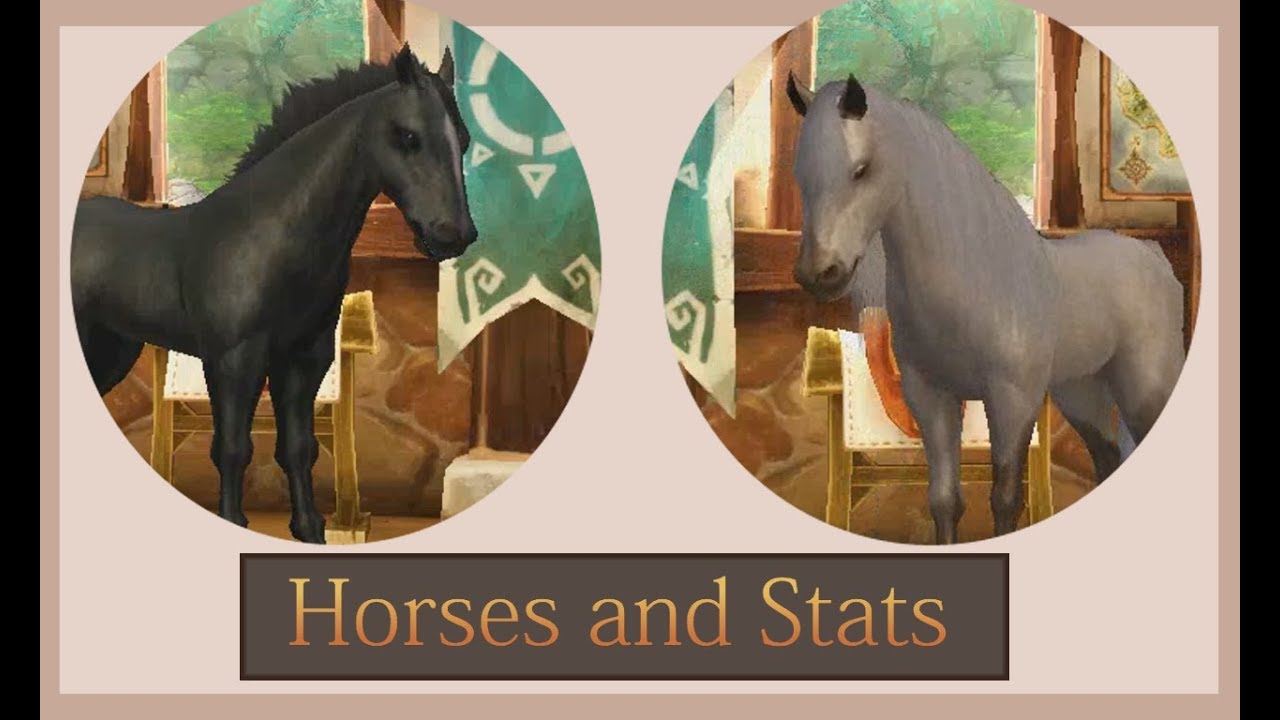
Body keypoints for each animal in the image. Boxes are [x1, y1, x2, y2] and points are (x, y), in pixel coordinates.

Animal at [71, 45, 477, 543]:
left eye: (464, 139)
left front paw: (310, 528)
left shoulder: (305, 356)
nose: (453, 235)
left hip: (112, 350)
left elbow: (299, 447)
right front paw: (235, 520)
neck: (268, 236)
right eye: (407, 136)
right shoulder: (234, 359)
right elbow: (231, 448)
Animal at [786, 74, 1186, 543]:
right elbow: (944, 500)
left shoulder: (1013, 400)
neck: (972, 283)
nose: (819, 273)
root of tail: (1153, 256)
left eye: (861, 170)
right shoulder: (930, 396)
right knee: (1107, 458)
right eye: (800, 175)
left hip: (1143, 391)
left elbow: (1005, 498)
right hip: (1081, 392)